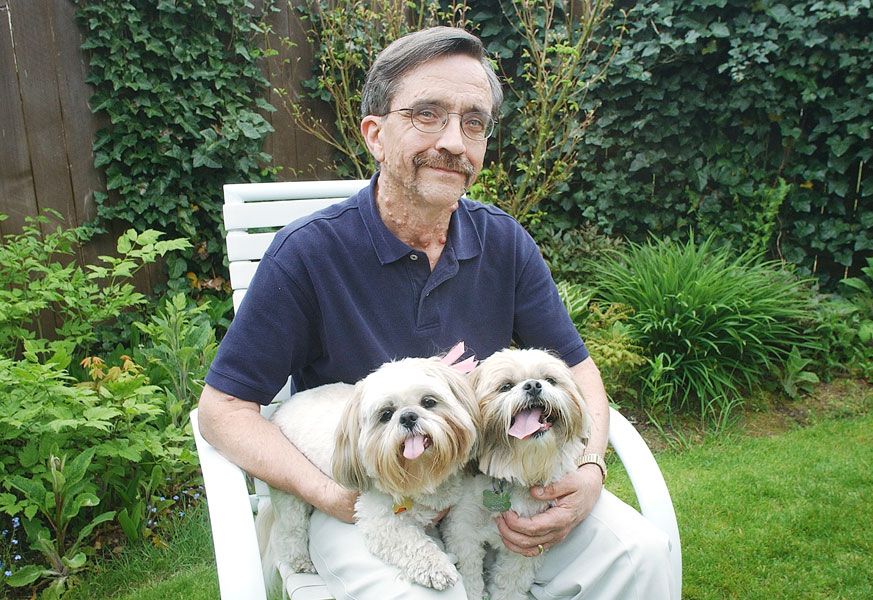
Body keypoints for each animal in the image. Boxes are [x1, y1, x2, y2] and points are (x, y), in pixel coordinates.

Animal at [255, 356, 480, 596]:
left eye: (429, 401)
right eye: (386, 414)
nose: (408, 417)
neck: (422, 473)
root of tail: (281, 408)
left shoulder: (455, 514)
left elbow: (466, 549)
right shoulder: (381, 520)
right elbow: (412, 542)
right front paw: (436, 568)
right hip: (290, 495)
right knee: (290, 531)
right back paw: (301, 561)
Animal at [442, 346, 592, 600]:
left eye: (550, 380)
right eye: (505, 386)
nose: (533, 385)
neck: (513, 471)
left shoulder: (525, 547)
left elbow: (509, 584)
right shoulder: (462, 531)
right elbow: (470, 577)